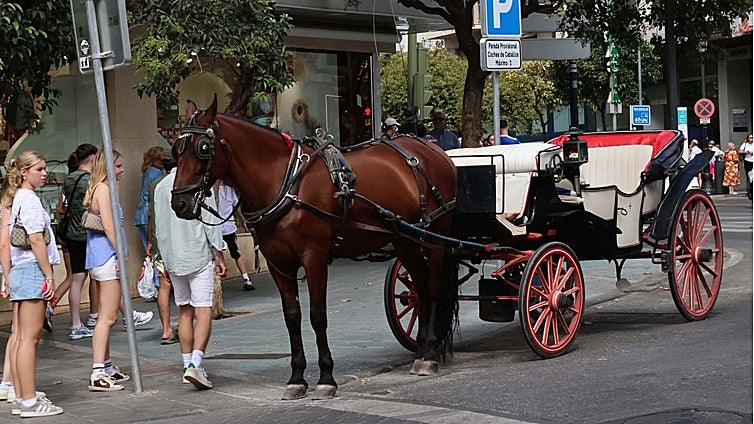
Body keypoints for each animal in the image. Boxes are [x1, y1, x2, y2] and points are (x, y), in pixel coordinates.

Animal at [170, 96, 458, 400]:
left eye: (203, 149)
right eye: (176, 149)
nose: (179, 203)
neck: (286, 183)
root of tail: (433, 150)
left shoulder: (314, 258)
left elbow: (317, 316)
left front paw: (326, 377)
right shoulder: (279, 264)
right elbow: (292, 317)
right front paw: (296, 378)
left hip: (436, 235)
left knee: (434, 286)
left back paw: (429, 354)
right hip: (405, 239)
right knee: (420, 289)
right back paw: (423, 349)